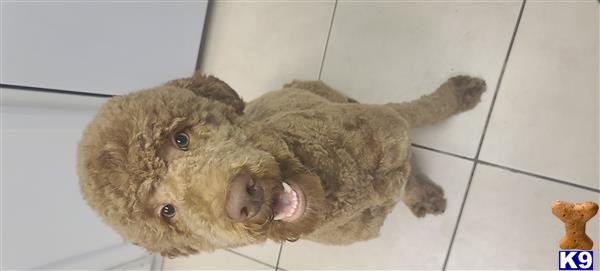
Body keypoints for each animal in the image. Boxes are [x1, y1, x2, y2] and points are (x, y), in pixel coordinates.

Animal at [77, 73, 486, 260]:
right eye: (168, 211)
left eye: (181, 138)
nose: (242, 197)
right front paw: (417, 192)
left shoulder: (393, 121)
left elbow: (426, 108)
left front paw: (460, 94)